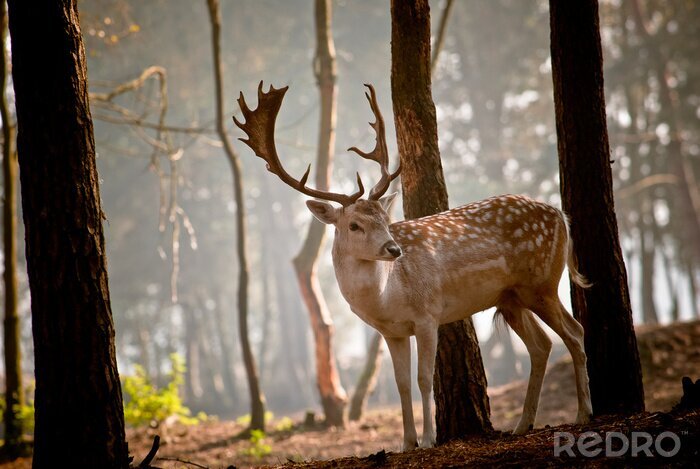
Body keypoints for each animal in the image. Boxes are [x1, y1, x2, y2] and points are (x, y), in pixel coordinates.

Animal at [234, 82, 593, 450]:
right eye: (354, 225)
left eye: (385, 218)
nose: (394, 249)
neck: (387, 298)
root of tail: (561, 215)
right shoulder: (392, 332)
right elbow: (401, 382)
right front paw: (407, 442)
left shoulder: (428, 314)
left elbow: (423, 378)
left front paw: (429, 438)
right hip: (510, 298)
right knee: (542, 345)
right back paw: (522, 425)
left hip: (541, 282)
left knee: (574, 332)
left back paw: (582, 414)